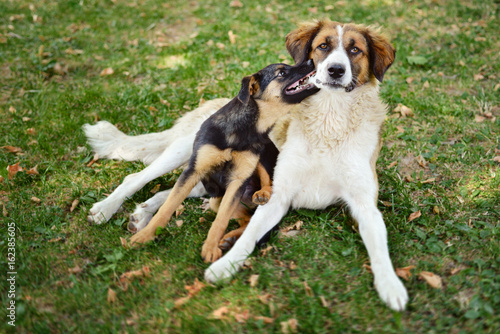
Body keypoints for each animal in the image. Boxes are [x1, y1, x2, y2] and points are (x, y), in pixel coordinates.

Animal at [129, 61, 316, 262]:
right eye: (281, 73)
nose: (310, 61)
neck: (247, 128)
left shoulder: (238, 181)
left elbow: (221, 220)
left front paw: (210, 248)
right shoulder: (194, 171)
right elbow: (167, 207)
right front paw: (145, 236)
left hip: (264, 153)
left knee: (266, 182)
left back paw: (261, 195)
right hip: (216, 200)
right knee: (247, 219)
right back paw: (231, 237)